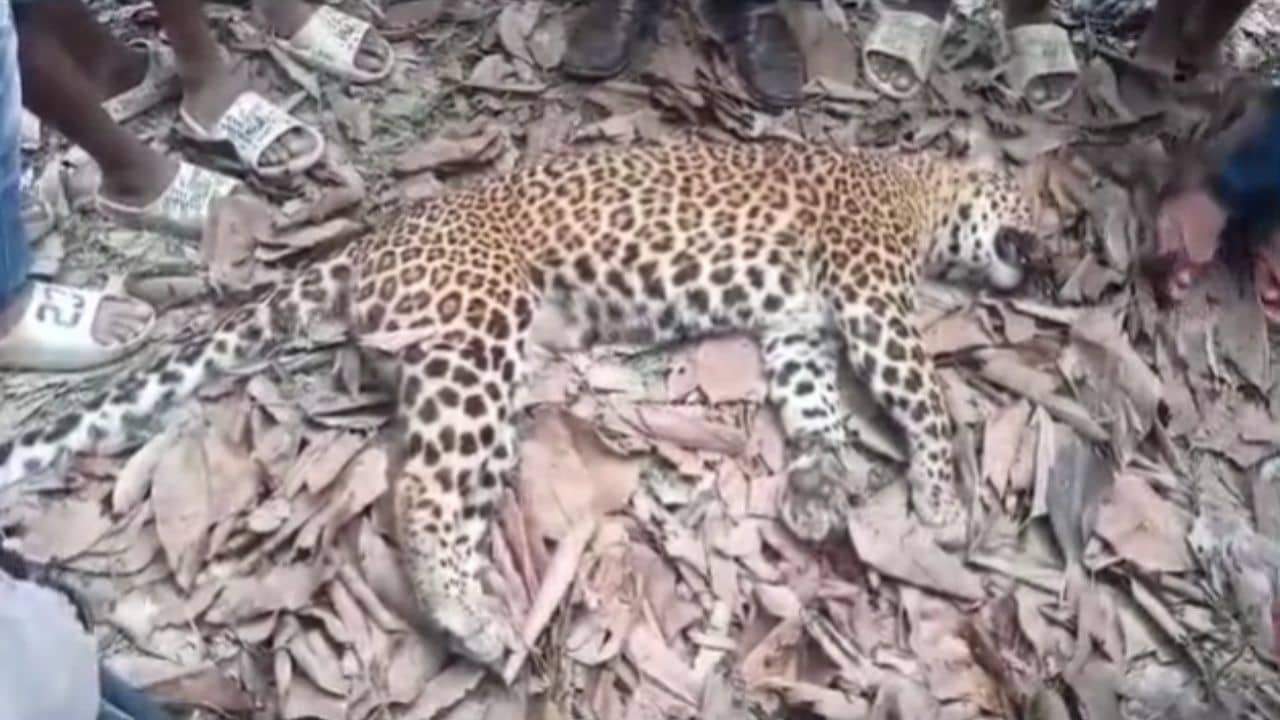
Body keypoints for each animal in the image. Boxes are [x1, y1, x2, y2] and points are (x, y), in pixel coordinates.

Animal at [0, 140, 1038, 671]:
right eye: (1042, 213)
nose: (1059, 255)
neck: (919, 186)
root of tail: (374, 237)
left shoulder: (799, 331)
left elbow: (818, 409)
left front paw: (820, 490)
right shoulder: (869, 295)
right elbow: (923, 393)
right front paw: (942, 502)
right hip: (479, 336)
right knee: (420, 488)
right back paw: (469, 619)